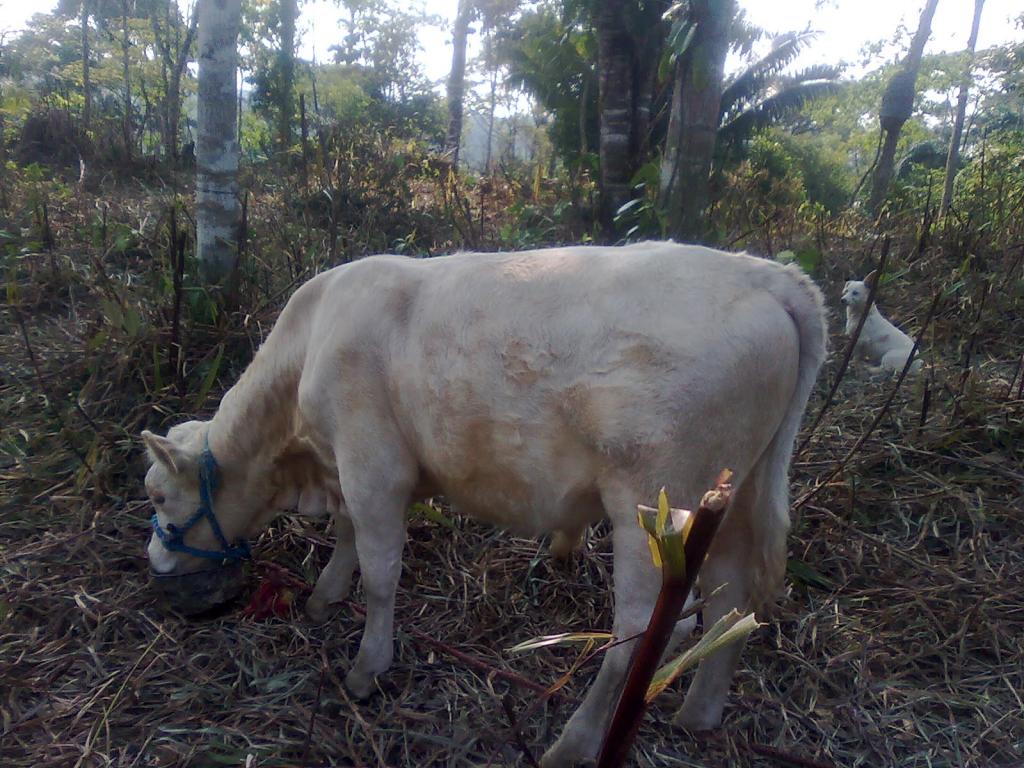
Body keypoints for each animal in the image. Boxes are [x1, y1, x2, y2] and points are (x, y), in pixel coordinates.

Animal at [142, 243, 823, 765]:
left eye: (158, 493)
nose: (156, 561)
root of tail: (766, 273)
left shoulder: (373, 463)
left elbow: (381, 572)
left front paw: (367, 667)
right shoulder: (347, 467)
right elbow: (346, 534)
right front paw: (323, 596)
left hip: (656, 503)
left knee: (650, 625)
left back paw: (575, 741)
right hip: (732, 498)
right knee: (732, 603)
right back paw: (699, 714)